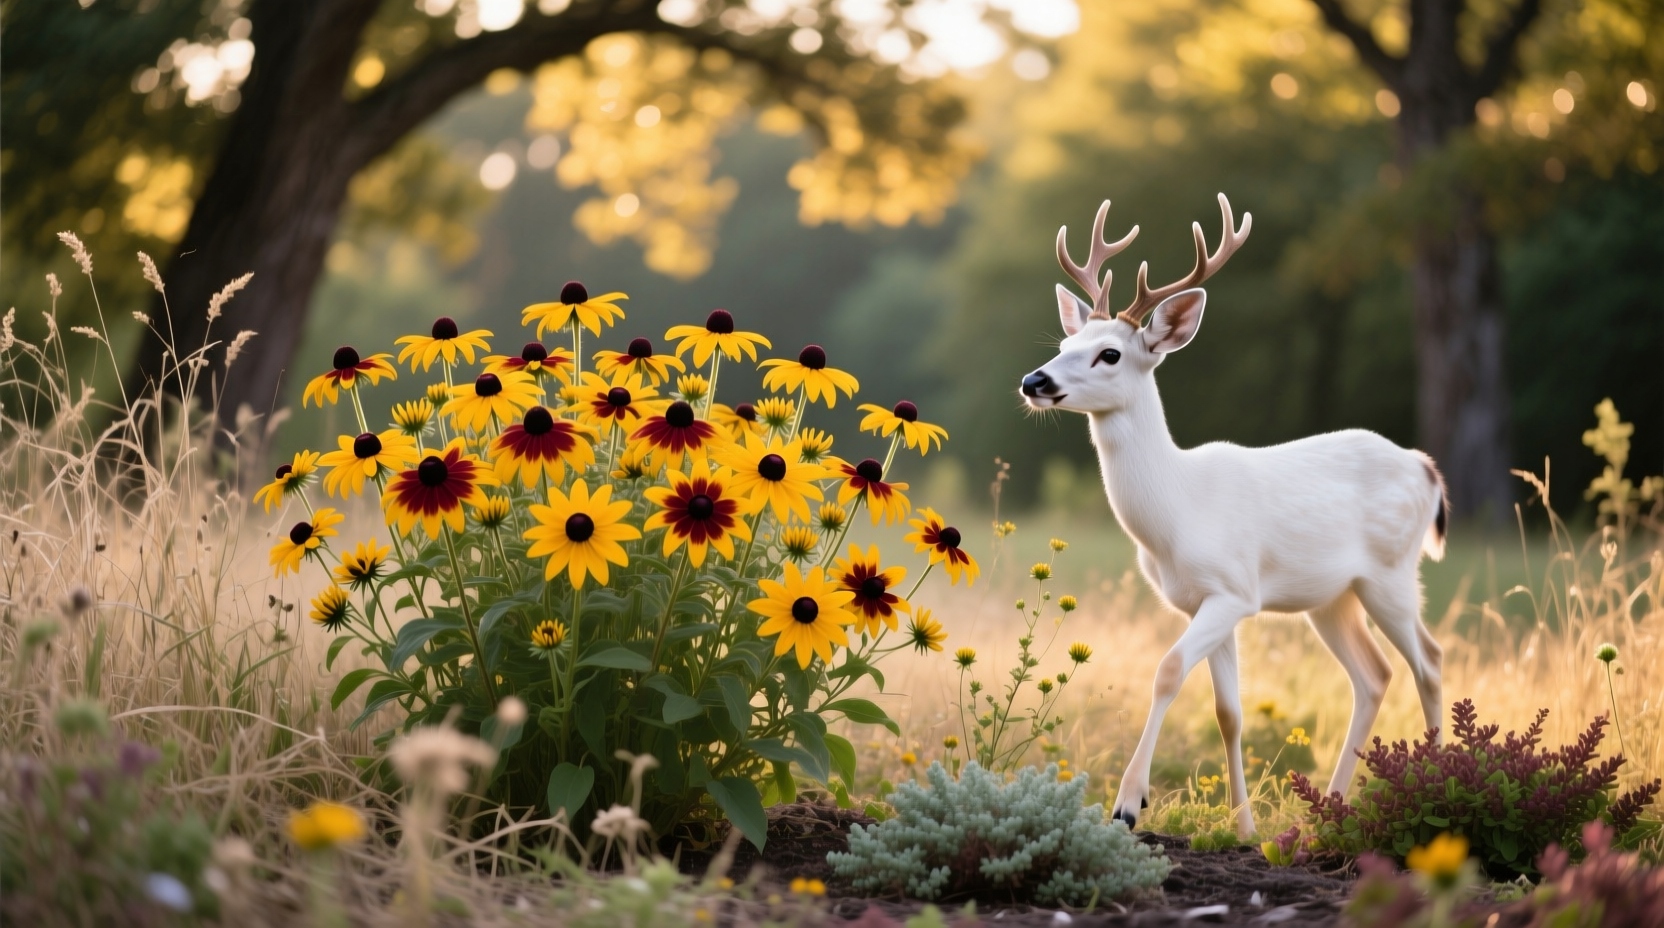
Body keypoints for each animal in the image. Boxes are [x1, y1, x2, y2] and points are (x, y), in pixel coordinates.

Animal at [1020, 194, 1449, 839]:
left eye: (1109, 353)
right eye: (1063, 345)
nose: (1034, 380)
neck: (1176, 512)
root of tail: (1426, 468)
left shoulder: (1233, 591)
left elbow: (1169, 669)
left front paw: (1128, 804)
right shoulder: (1207, 600)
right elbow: (1229, 712)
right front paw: (1245, 829)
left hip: (1392, 573)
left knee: (1429, 661)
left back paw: (1440, 798)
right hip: (1333, 596)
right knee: (1374, 675)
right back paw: (1331, 811)